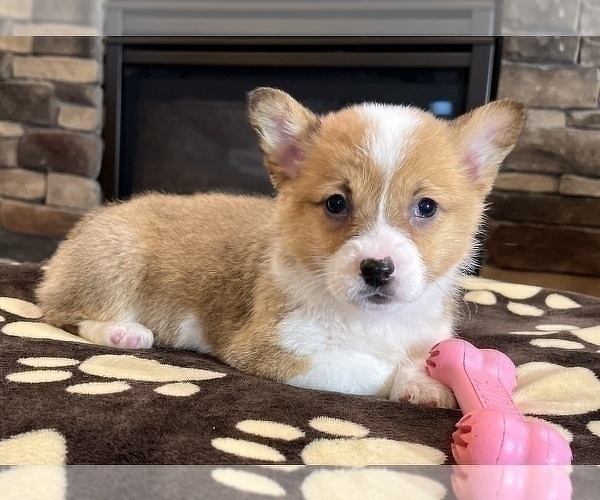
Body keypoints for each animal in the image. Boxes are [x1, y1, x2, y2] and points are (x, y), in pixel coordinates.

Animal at [37, 88, 524, 408]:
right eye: (336, 203)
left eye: (426, 207)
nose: (377, 269)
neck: (370, 321)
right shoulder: (279, 351)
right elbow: (368, 368)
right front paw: (421, 385)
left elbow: (417, 357)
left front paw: (427, 381)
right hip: (116, 260)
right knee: (63, 314)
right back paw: (123, 332)